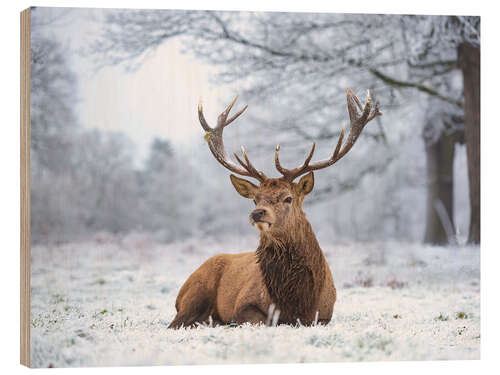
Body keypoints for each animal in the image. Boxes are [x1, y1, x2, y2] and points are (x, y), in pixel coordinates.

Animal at [169, 89, 382, 328]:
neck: (296, 303)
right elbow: (257, 319)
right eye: (255, 199)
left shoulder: (325, 314)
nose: (257, 213)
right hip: (194, 293)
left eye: (288, 198)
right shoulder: (244, 306)